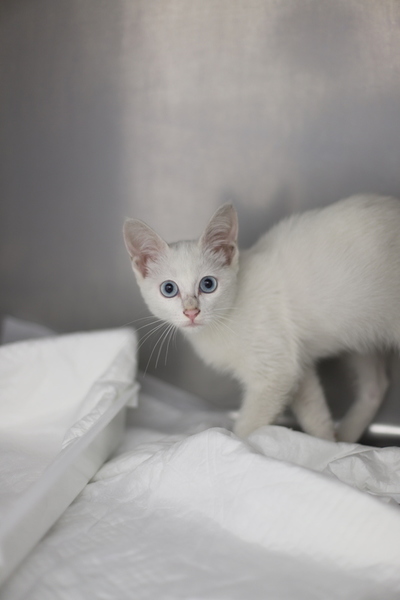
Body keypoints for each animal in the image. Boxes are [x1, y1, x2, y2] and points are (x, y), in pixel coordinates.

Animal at [123, 195, 400, 442]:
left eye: (208, 284)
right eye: (169, 289)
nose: (191, 311)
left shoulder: (274, 372)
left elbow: (249, 425)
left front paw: (240, 447)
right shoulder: (293, 361)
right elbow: (314, 413)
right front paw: (327, 447)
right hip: (363, 333)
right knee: (376, 386)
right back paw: (347, 438)